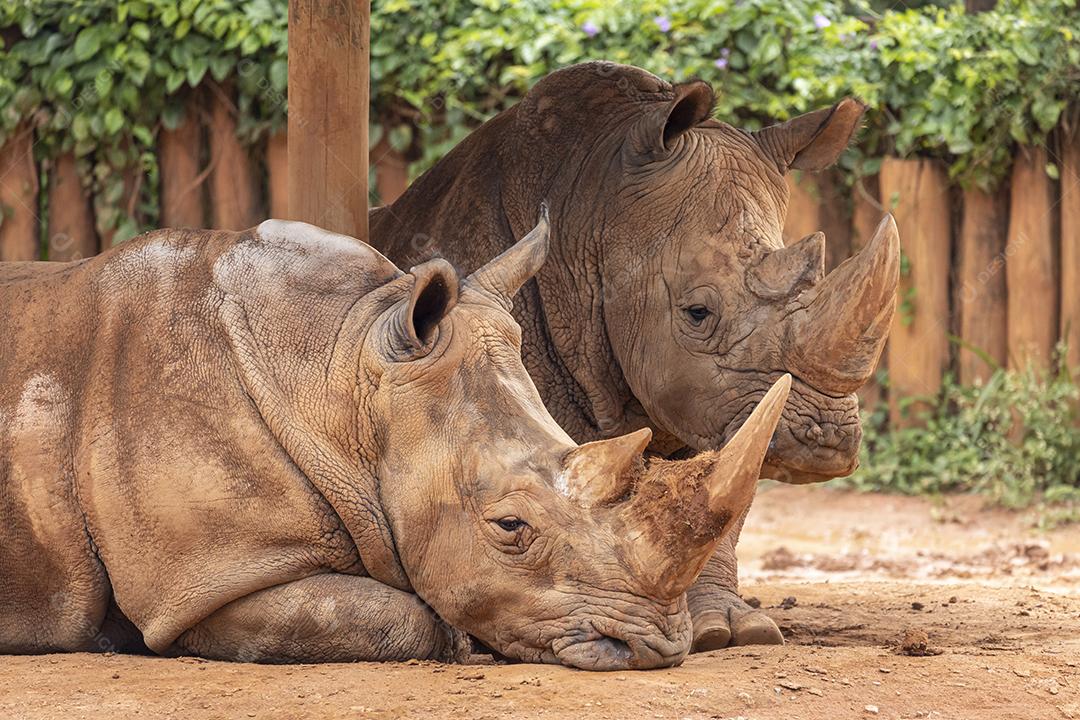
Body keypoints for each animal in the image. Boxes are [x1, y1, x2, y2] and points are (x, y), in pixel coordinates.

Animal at [0, 211, 794, 673]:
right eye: (509, 527)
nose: (656, 648)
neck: (341, 370)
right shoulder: (206, 579)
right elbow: (398, 616)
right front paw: (460, 642)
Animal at [373, 62, 902, 651]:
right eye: (697, 313)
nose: (825, 441)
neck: (592, 212)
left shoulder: (724, 405)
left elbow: (717, 492)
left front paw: (731, 631)